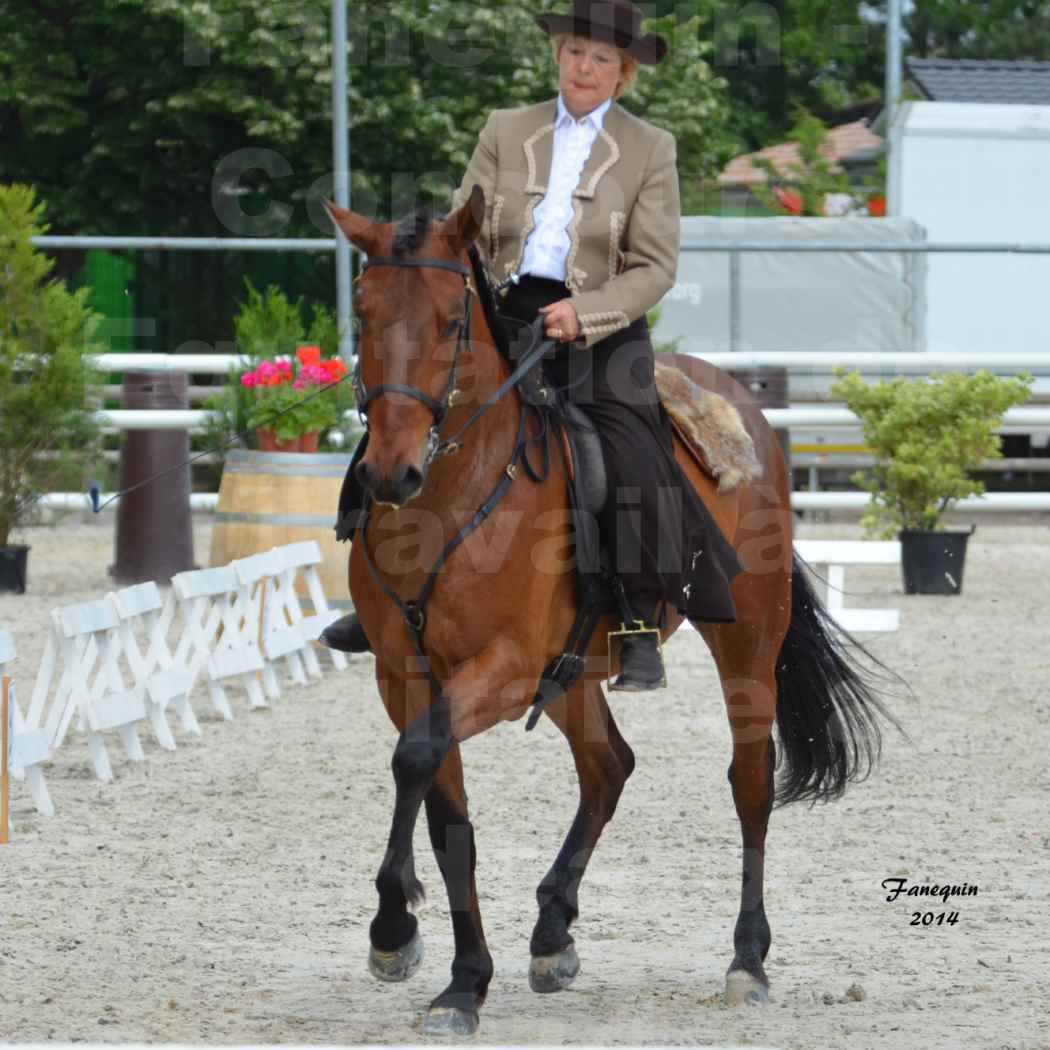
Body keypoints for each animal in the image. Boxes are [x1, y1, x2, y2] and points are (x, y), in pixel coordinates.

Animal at [323, 188, 890, 1033]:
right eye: (362, 312)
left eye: (452, 322)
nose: (392, 473)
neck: (455, 498)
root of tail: (743, 407)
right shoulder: (407, 675)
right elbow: (444, 809)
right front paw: (463, 980)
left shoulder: (502, 671)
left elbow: (415, 760)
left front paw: (394, 930)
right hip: (576, 673)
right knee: (609, 766)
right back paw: (553, 932)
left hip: (747, 647)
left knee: (749, 783)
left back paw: (747, 961)